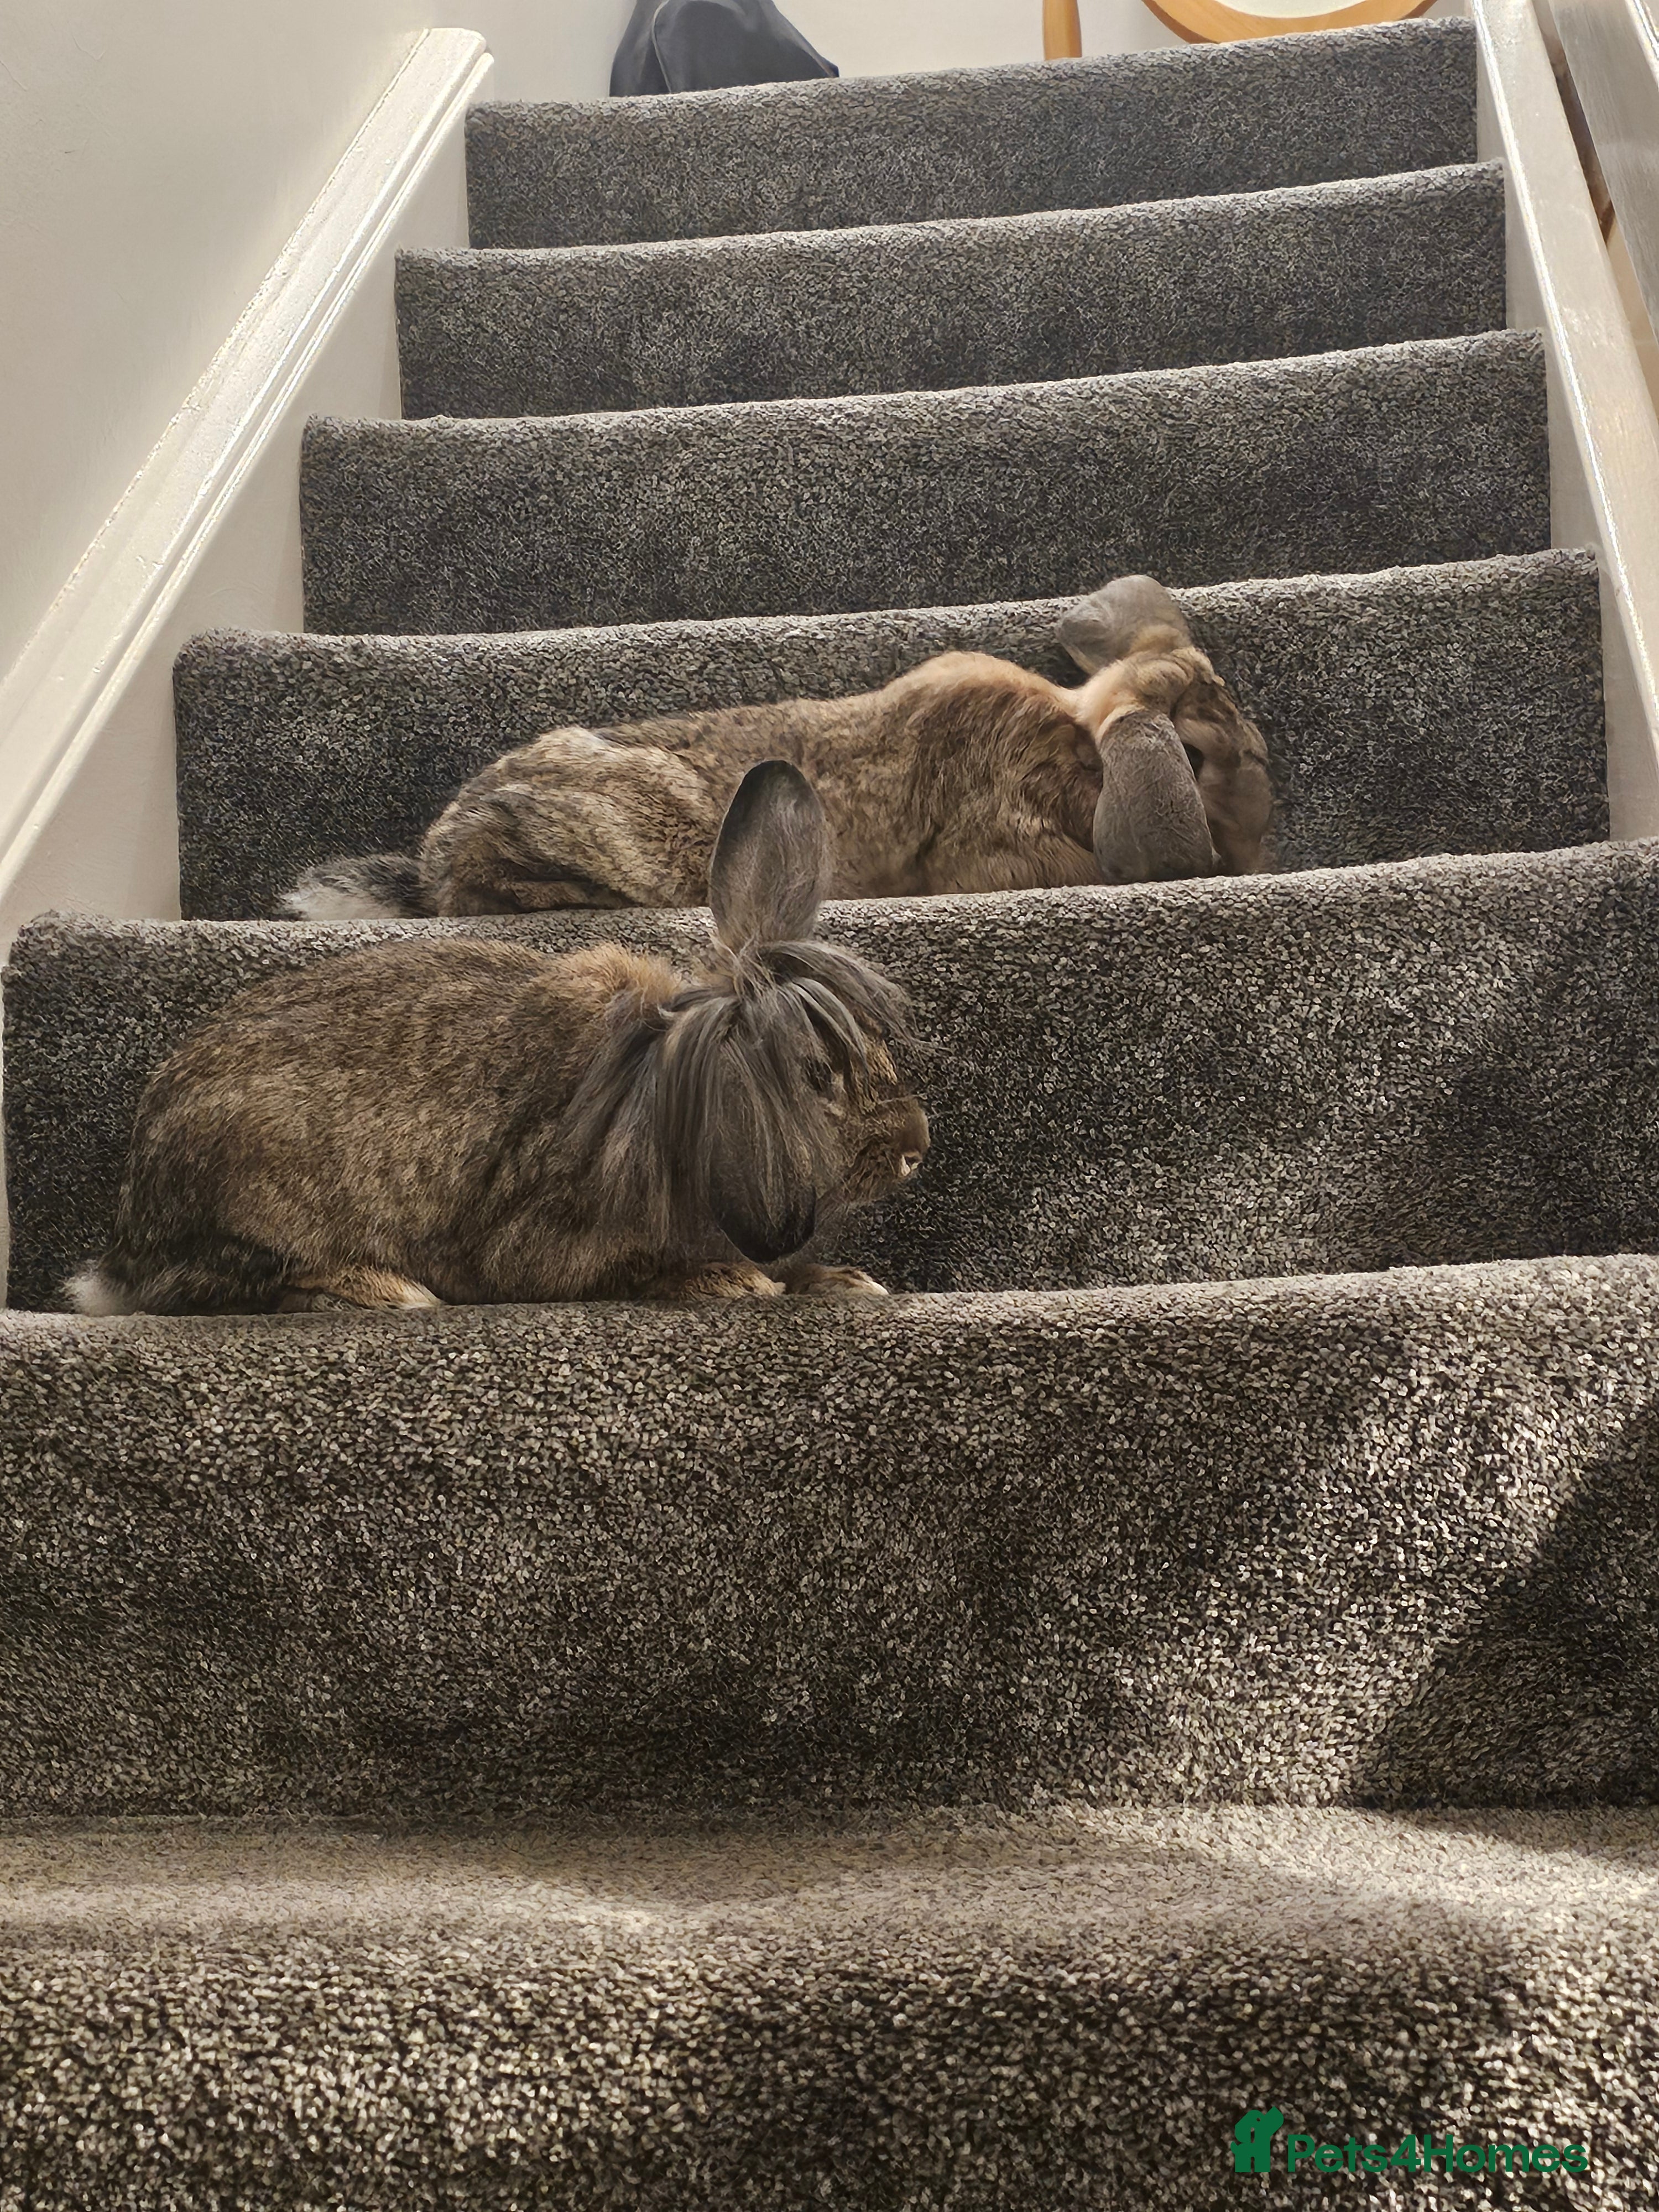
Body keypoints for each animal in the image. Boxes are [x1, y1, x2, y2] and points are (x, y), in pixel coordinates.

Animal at [70, 761, 929, 1317]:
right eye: (815, 1074)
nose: (917, 1146)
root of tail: (128, 1240)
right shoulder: (547, 1236)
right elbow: (625, 1269)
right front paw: (728, 1283)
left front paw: (844, 1280)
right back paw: (382, 1290)